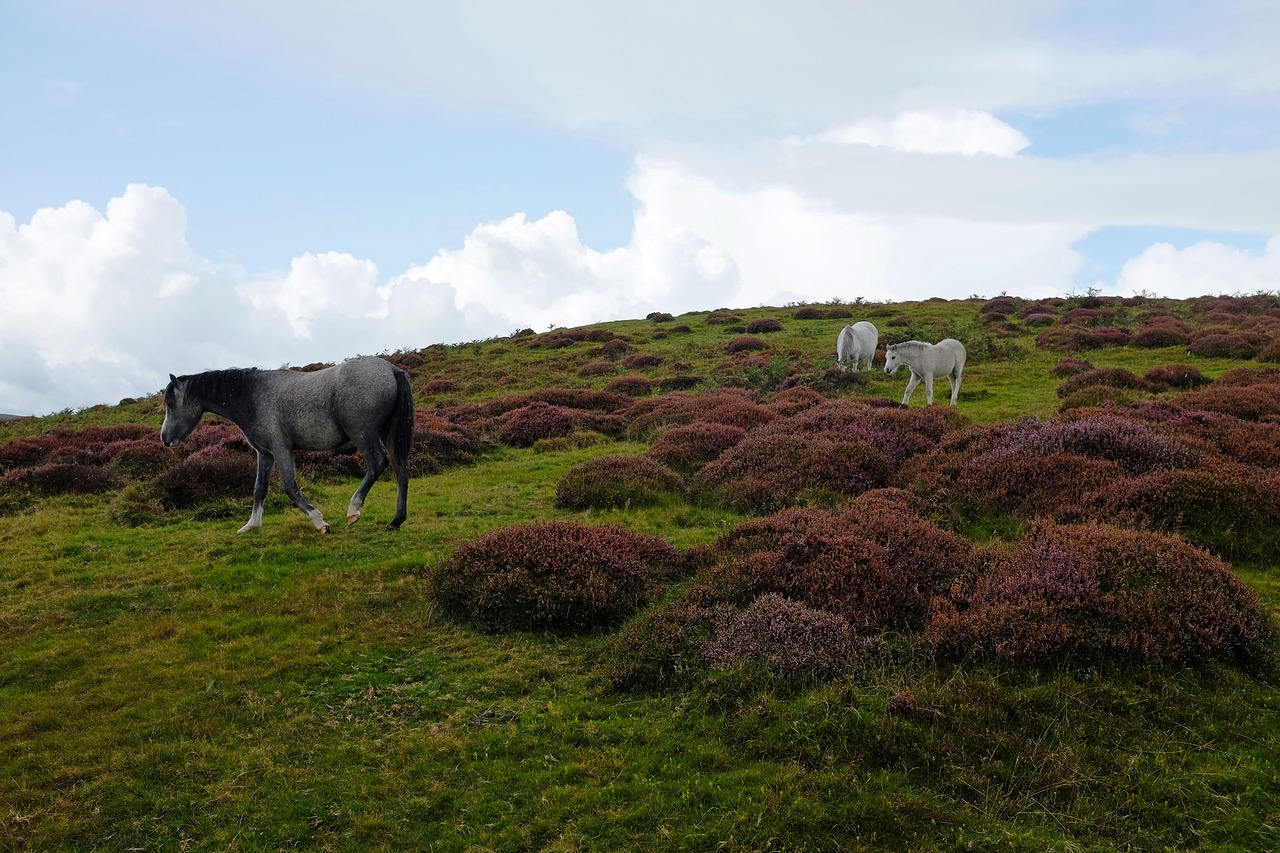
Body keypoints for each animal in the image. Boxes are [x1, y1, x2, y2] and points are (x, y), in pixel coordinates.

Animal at [157, 353, 412, 527]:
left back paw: (353, 509)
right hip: (386, 433)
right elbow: (259, 488)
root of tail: (391, 369)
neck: (254, 396)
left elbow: (290, 487)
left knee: (378, 464)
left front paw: (319, 522)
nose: (165, 439)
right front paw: (252, 525)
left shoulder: (281, 449)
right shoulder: (265, 453)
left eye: (170, 404)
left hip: (362, 433)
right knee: (400, 468)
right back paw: (396, 520)